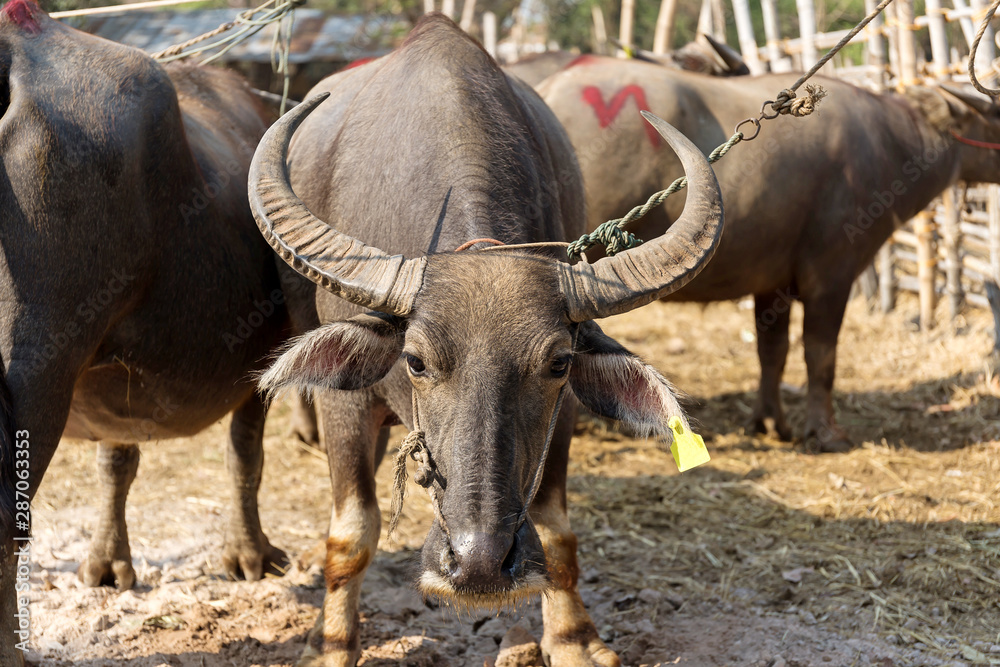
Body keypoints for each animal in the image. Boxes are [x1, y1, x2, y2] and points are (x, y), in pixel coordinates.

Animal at [251, 14, 723, 667]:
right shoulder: (343, 402)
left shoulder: (565, 413)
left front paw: (574, 640)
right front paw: (331, 647)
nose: (477, 564)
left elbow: (555, 531)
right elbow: (350, 535)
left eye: (558, 363)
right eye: (415, 361)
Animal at [539, 60, 1000, 452]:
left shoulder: (771, 283)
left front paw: (770, 422)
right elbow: (820, 354)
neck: (892, 142)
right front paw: (826, 433)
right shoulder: (831, 275)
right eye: (995, 113)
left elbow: (771, 352)